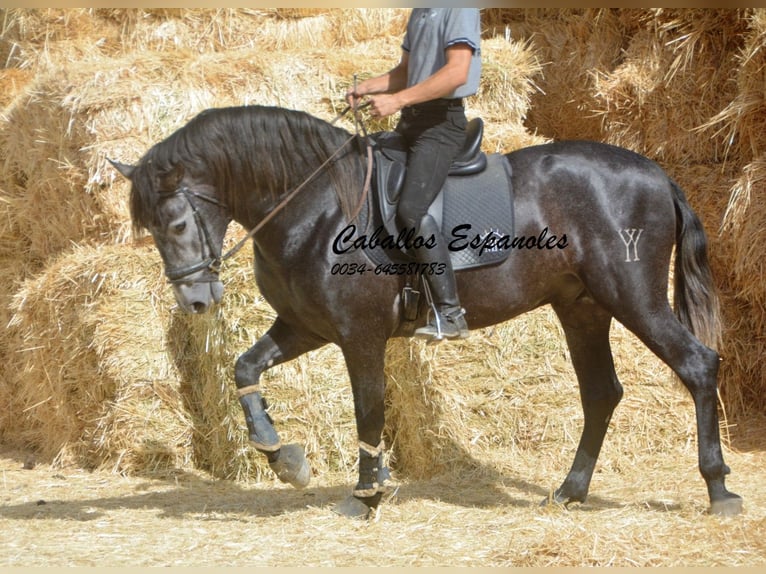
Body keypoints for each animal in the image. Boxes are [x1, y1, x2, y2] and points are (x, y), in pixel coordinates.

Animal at [111, 102, 748, 516]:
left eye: (175, 224)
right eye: (152, 230)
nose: (195, 299)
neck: (317, 206)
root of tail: (656, 172)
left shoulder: (359, 335)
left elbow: (369, 411)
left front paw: (365, 495)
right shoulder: (304, 327)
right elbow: (244, 367)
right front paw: (284, 458)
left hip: (633, 296)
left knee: (697, 366)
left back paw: (719, 489)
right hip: (583, 307)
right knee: (601, 393)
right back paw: (570, 491)